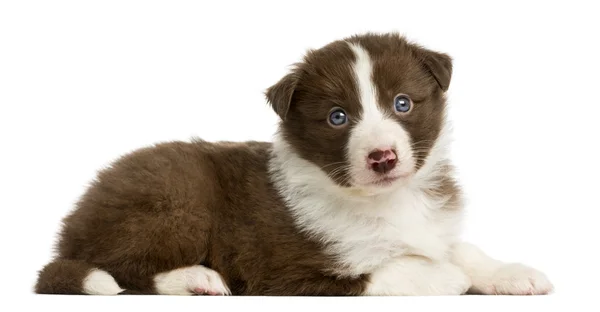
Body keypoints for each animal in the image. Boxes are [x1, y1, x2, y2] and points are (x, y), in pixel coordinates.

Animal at [35, 33, 552, 296]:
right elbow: (387, 268)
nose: (383, 158)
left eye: (402, 103)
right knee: (121, 266)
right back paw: (196, 278)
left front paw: (510, 272)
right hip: (175, 200)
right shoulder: (282, 265)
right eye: (337, 117)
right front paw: (445, 276)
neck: (385, 199)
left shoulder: (432, 225)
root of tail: (72, 223)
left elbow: (460, 248)